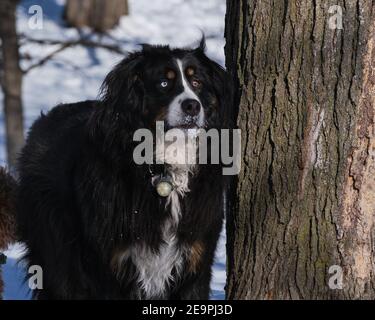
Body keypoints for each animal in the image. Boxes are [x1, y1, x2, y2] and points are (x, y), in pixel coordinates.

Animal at [16, 40, 234, 300]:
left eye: (197, 82)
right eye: (164, 83)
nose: (192, 106)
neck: (163, 167)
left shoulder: (195, 259)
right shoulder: (109, 264)